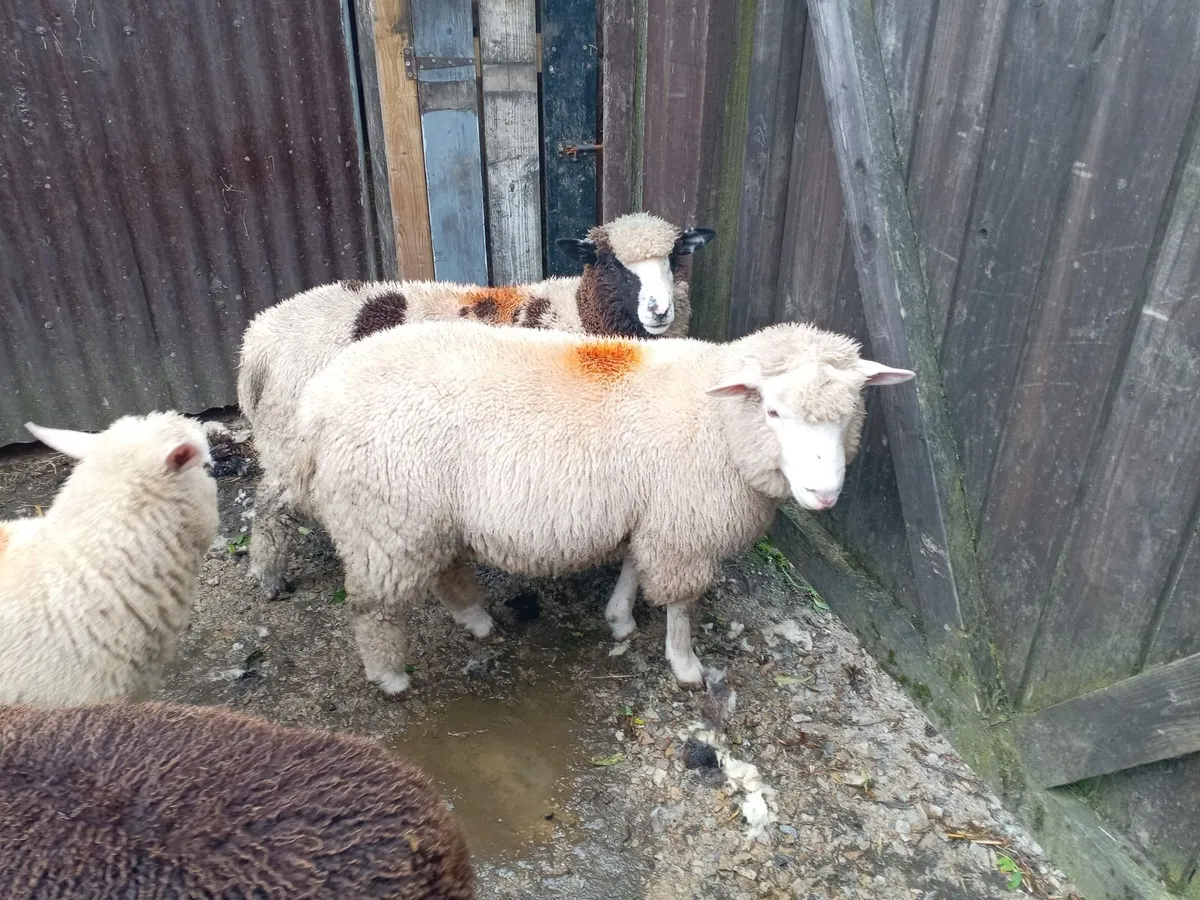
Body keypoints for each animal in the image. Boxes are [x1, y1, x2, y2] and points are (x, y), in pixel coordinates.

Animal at [238, 212, 715, 600]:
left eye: (675, 257)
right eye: (611, 263)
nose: (659, 311)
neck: (579, 313)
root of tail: (257, 339)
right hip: (286, 440)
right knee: (268, 507)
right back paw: (269, 575)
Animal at [288, 319, 914, 695]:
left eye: (852, 412)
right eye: (773, 411)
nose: (824, 493)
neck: (715, 422)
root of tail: (314, 405)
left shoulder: (653, 512)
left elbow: (633, 564)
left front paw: (619, 617)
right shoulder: (683, 528)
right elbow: (682, 604)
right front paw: (685, 665)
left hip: (420, 516)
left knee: (444, 569)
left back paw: (476, 619)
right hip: (384, 518)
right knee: (370, 606)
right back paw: (390, 674)